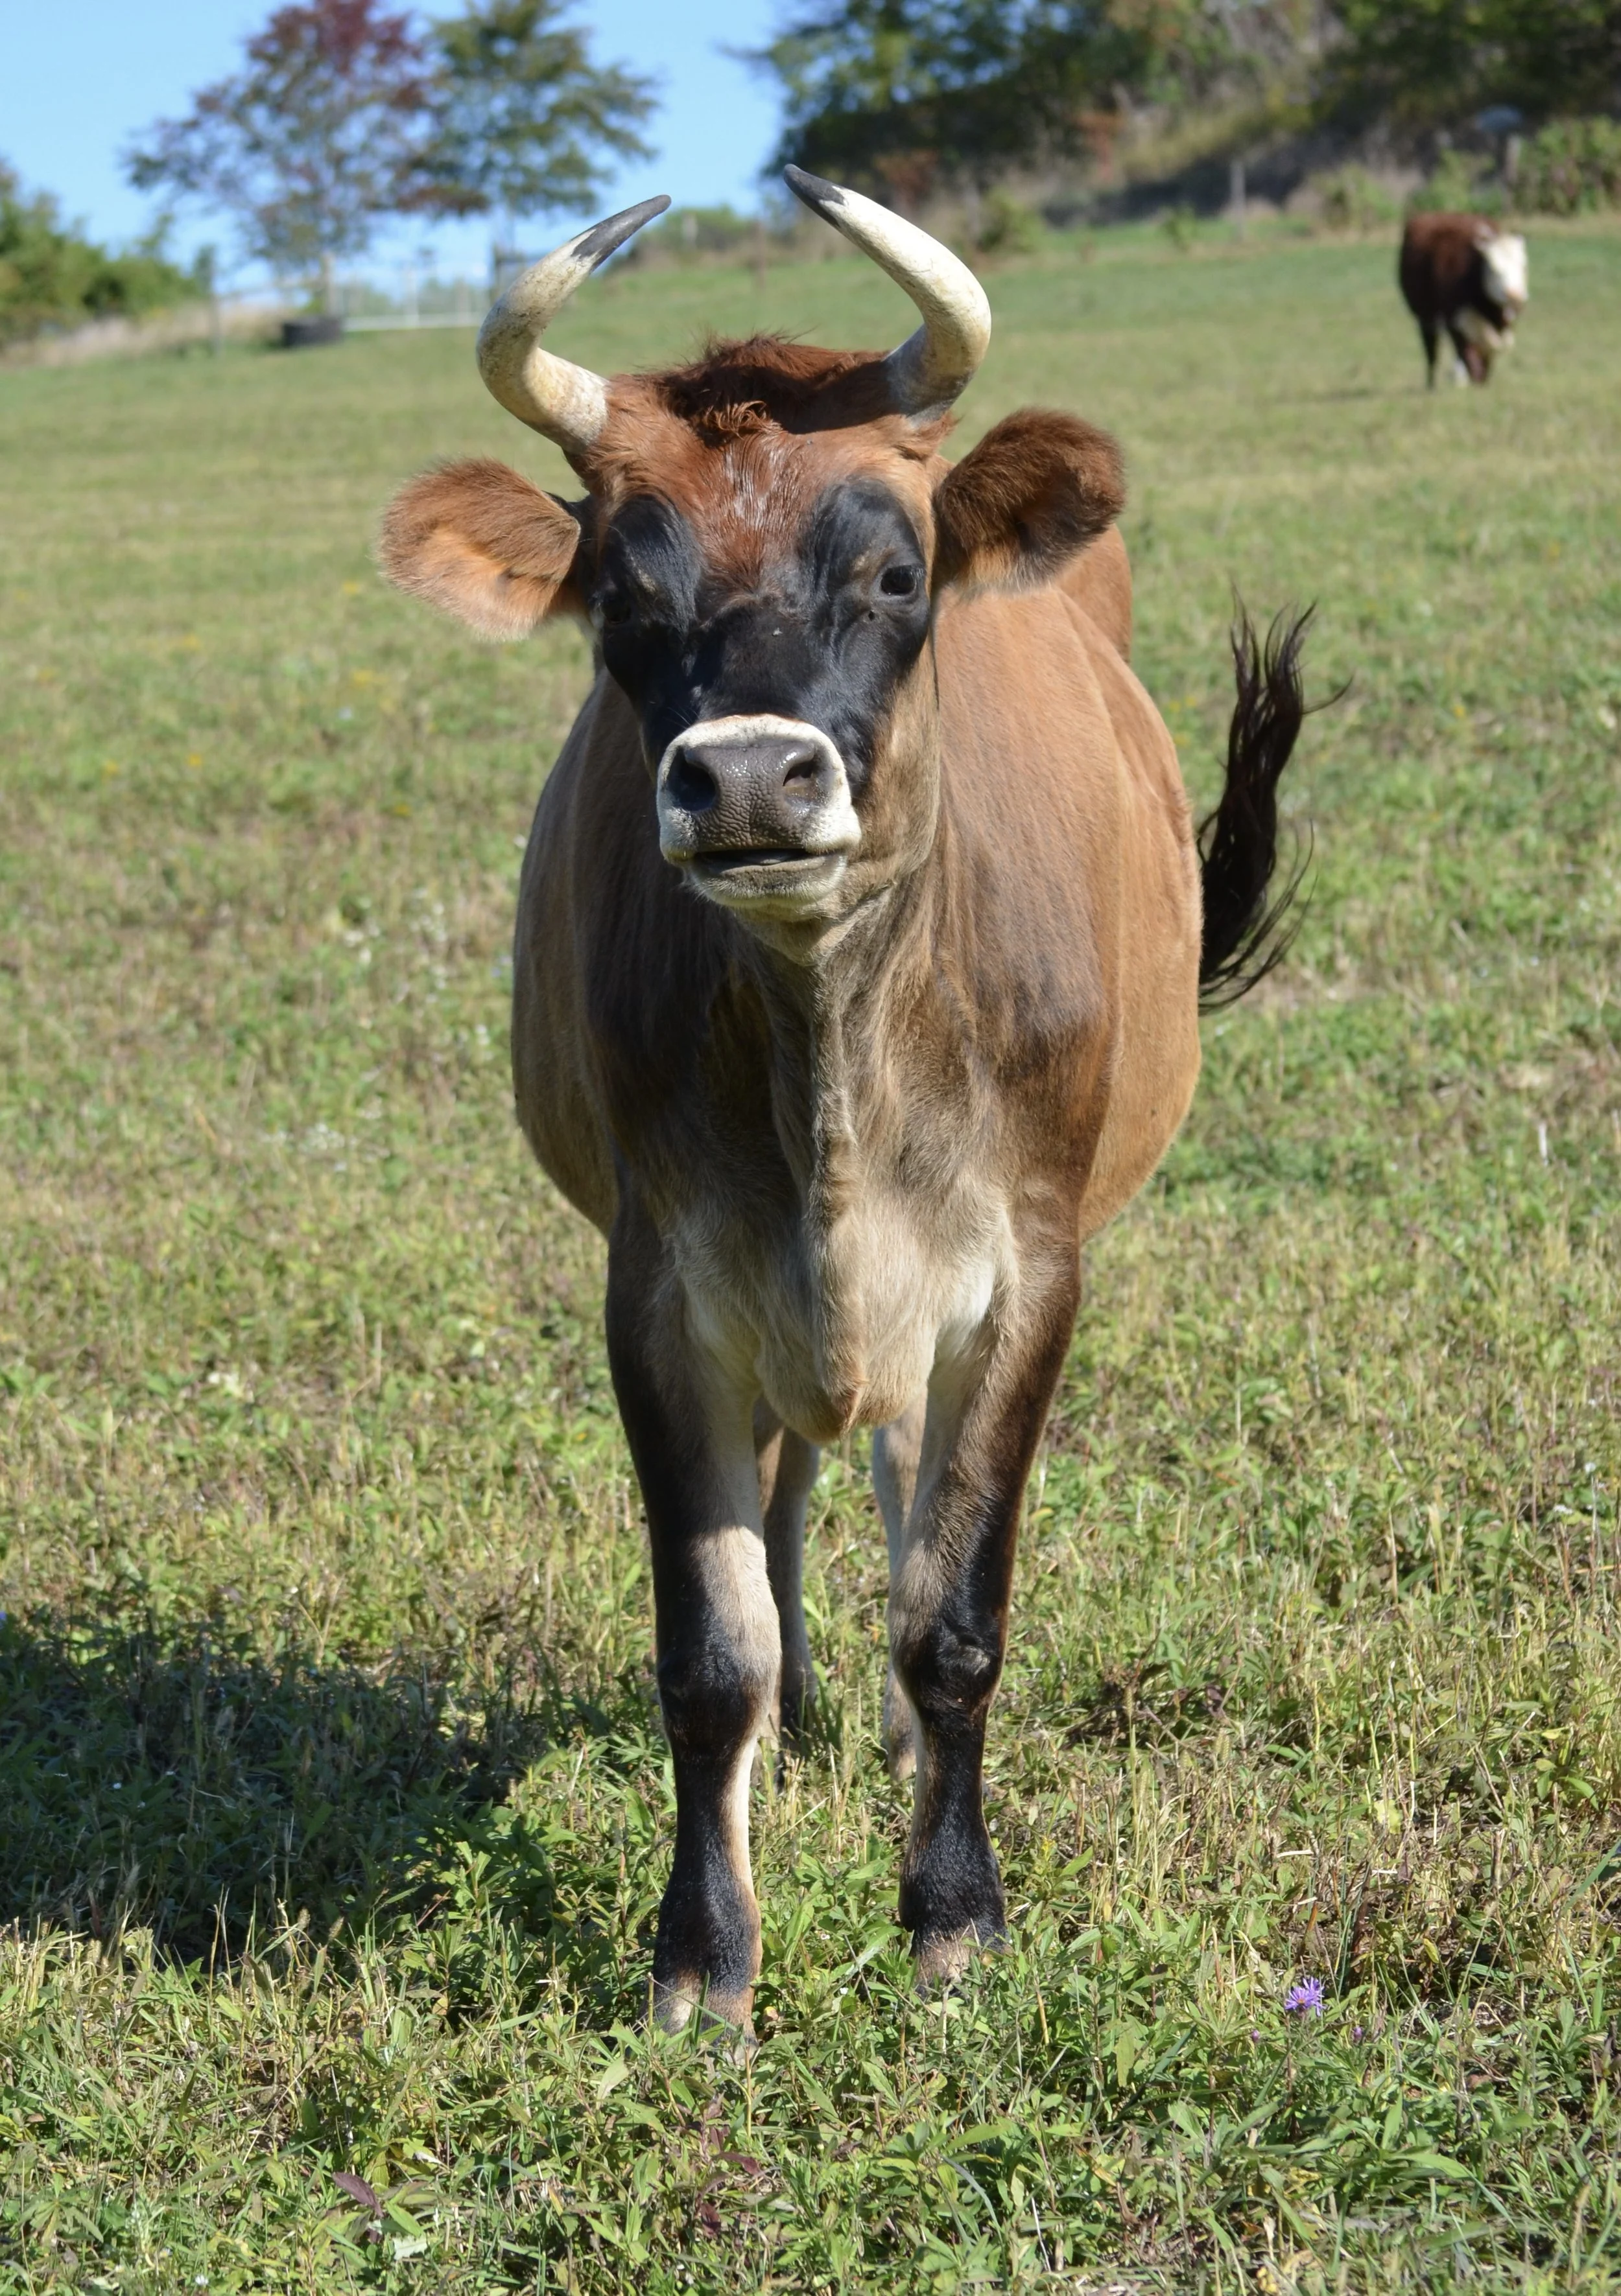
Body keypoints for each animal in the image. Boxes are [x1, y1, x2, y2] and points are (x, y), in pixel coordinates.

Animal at [379, 170, 1311, 2039]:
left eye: (893, 567)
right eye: (619, 595)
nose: (745, 775)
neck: (829, 1040)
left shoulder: (1029, 1271)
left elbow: (953, 1610)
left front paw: (951, 1914)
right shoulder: (658, 1282)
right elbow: (707, 1643)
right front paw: (703, 1953)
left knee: (893, 1474)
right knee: (805, 1477)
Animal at [1399, 212, 1529, 387]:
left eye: (1523, 266)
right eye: (1493, 268)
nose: (1515, 295)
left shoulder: (1502, 323)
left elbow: (1490, 351)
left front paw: (1481, 379)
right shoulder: (1453, 317)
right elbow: (1466, 351)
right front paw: (1473, 380)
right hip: (1426, 317)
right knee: (1432, 350)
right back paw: (1433, 383)